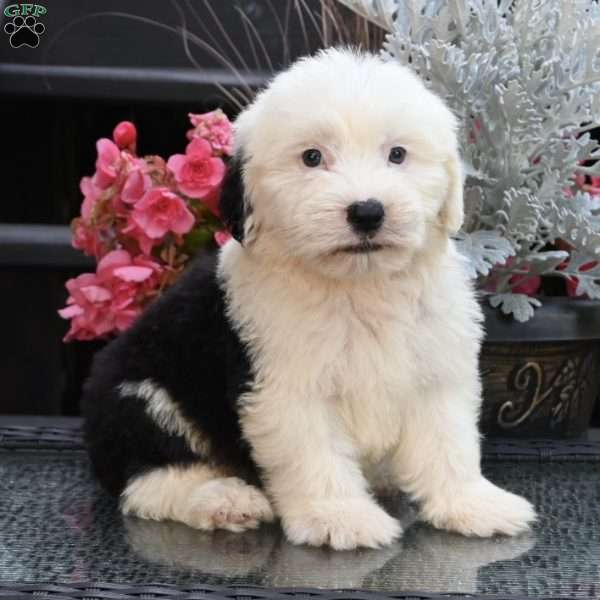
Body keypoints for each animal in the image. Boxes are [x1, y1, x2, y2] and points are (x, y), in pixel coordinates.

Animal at [83, 49, 536, 552]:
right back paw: (223, 499)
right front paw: (340, 518)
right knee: (147, 479)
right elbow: (313, 453)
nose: (367, 212)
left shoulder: (435, 370)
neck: (361, 287)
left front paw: (472, 504)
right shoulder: (287, 385)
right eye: (312, 157)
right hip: (143, 395)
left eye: (397, 154)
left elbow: (448, 444)